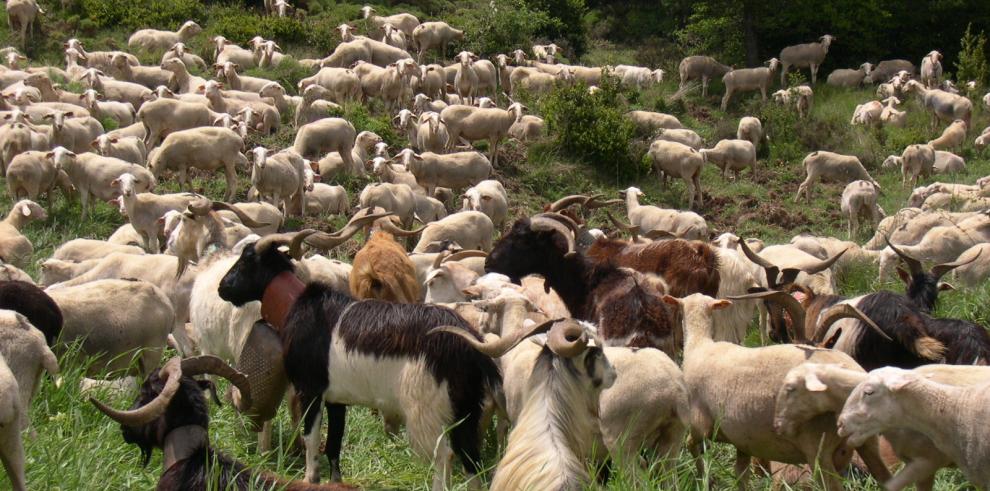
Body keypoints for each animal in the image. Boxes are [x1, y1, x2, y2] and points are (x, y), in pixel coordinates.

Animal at [214, 230, 500, 488]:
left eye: (247, 260)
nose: (222, 288)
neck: (299, 307)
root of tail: (468, 345)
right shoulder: (336, 399)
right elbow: (333, 445)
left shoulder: (311, 391)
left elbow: (311, 439)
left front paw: (310, 479)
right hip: (466, 408)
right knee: (471, 460)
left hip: (427, 410)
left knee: (445, 457)